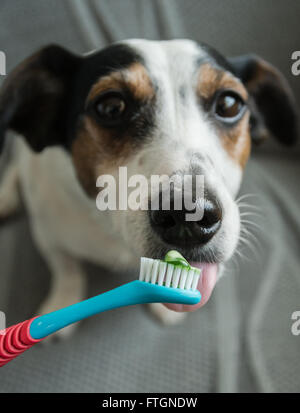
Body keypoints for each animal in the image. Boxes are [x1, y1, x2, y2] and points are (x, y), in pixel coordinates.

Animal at [0, 38, 296, 334]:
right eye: (110, 108)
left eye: (229, 103)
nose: (188, 215)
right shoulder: (47, 233)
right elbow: (66, 269)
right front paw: (62, 303)